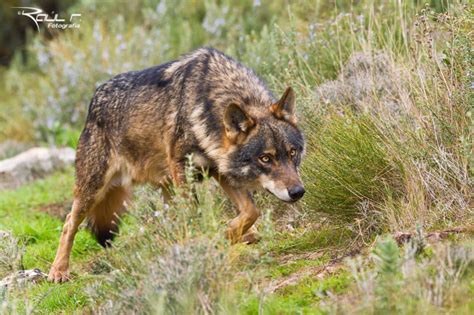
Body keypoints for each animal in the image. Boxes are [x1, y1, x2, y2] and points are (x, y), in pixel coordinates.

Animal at [49, 47, 308, 284]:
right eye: (265, 158)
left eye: (292, 153)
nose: (298, 192)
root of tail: (94, 98)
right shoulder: (182, 168)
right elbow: (197, 217)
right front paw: (208, 240)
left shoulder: (219, 170)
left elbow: (251, 211)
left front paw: (226, 235)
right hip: (94, 189)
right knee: (69, 222)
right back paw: (58, 271)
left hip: (164, 187)